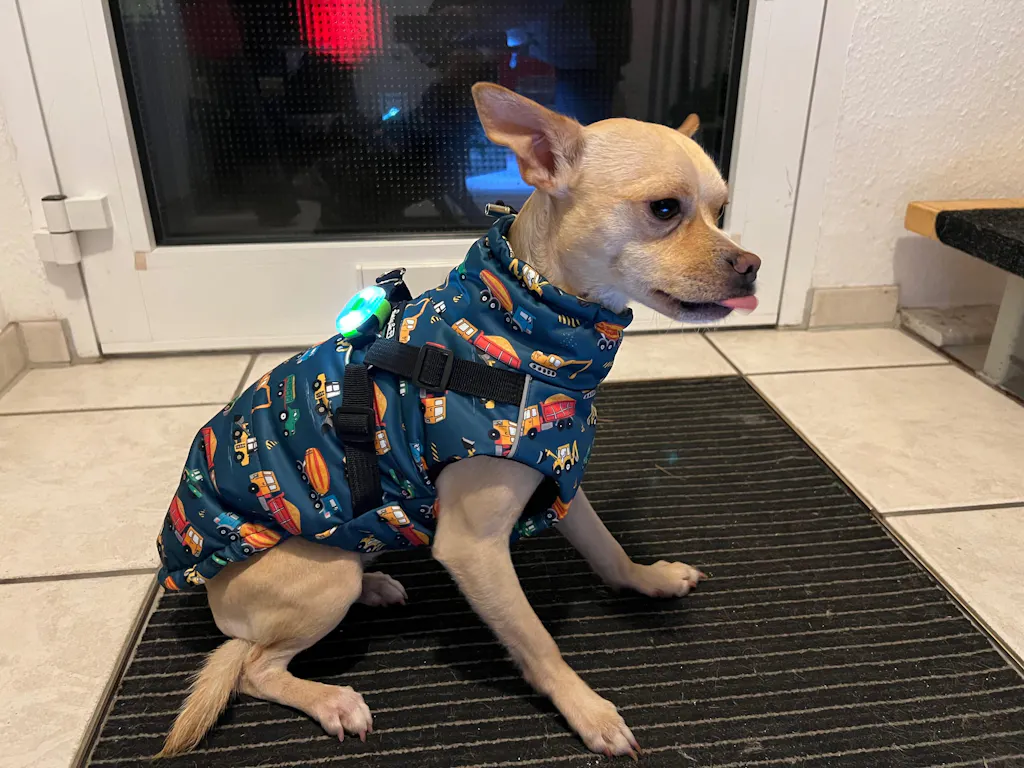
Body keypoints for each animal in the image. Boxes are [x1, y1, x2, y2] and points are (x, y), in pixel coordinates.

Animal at [157, 82, 760, 759]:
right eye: (663, 209)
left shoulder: (560, 481)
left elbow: (607, 550)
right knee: (257, 669)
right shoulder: (474, 548)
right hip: (321, 580)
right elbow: (537, 642)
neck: (525, 328)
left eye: (721, 210)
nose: (751, 265)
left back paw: (376, 585)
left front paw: (647, 580)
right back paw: (331, 699)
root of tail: (211, 599)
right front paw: (586, 710)